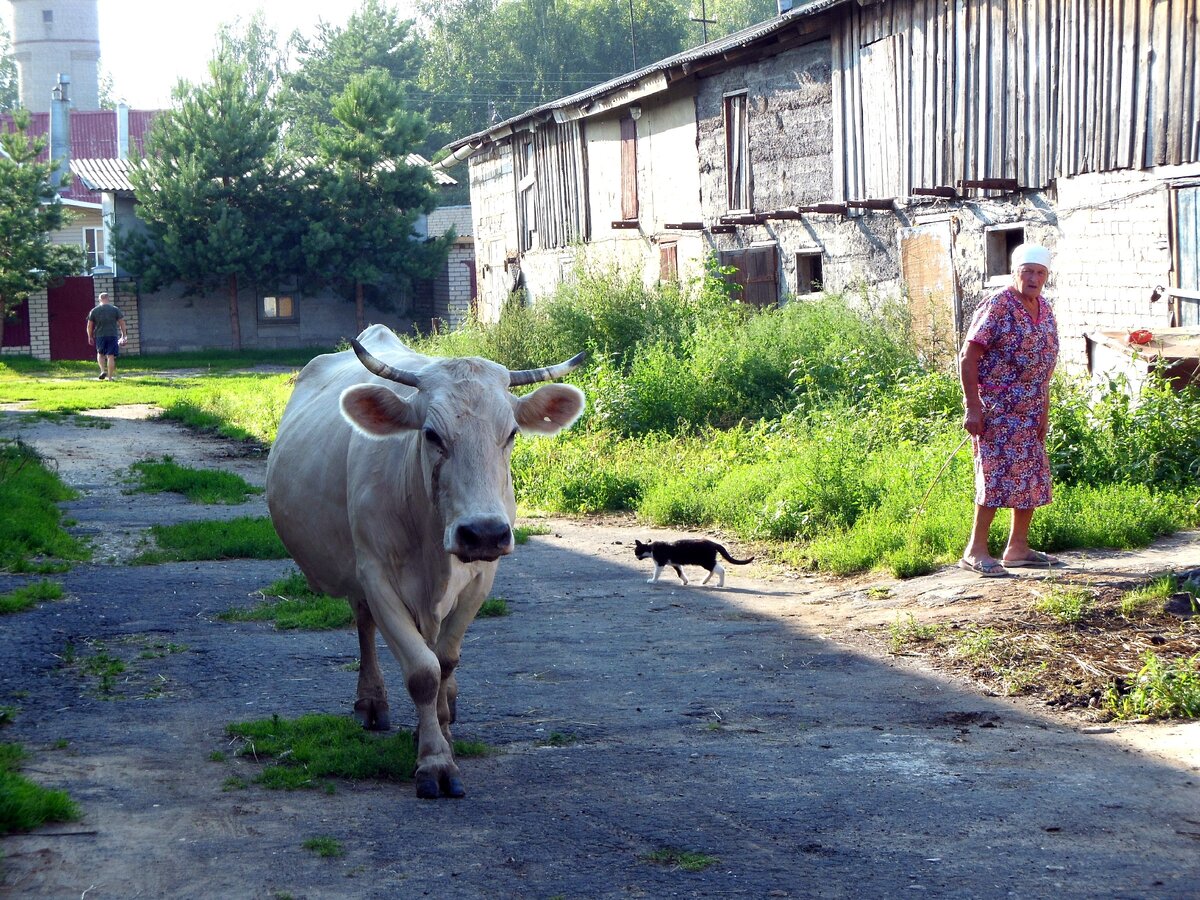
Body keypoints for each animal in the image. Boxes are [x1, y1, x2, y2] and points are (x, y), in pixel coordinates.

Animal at [265, 321, 583, 796]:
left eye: (510, 433)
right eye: (432, 434)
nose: (483, 532)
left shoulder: (482, 576)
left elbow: (445, 661)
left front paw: (441, 730)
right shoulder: (376, 574)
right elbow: (422, 672)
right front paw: (435, 760)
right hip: (356, 570)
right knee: (365, 624)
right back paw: (372, 702)